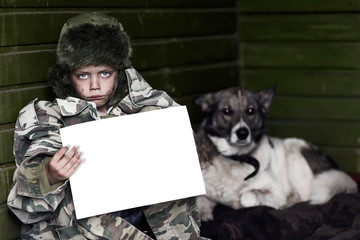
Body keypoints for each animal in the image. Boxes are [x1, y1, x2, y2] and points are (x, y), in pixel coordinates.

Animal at [195, 86, 358, 221]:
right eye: (227, 111)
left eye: (251, 111)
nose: (242, 133)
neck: (237, 158)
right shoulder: (206, 192)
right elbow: (199, 201)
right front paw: (203, 216)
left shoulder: (276, 191)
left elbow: (248, 195)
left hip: (295, 153)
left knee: (303, 197)